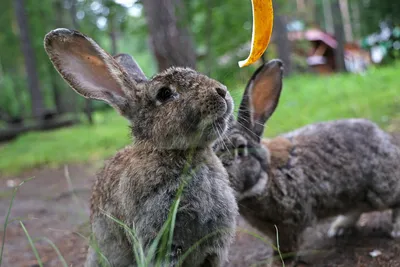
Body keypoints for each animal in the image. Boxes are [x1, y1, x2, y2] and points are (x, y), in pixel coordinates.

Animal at [214, 59, 400, 256]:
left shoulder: (289, 225)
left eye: (240, 150)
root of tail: (385, 139)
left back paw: (395, 229)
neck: (266, 178)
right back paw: (339, 228)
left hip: (381, 191)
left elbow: (286, 249)